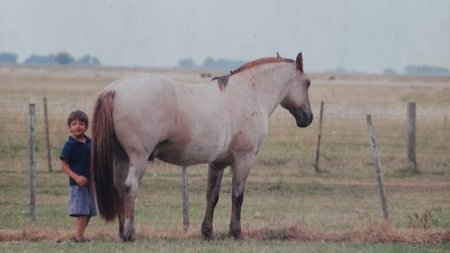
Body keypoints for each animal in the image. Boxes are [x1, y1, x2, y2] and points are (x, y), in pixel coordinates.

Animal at [91, 52, 312, 241]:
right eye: (308, 83)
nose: (308, 118)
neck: (248, 93)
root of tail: (114, 89)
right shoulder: (244, 159)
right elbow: (237, 195)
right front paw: (236, 233)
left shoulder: (217, 163)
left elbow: (212, 196)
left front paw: (208, 232)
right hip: (138, 158)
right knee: (130, 187)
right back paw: (130, 233)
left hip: (121, 157)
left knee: (119, 187)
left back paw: (122, 232)